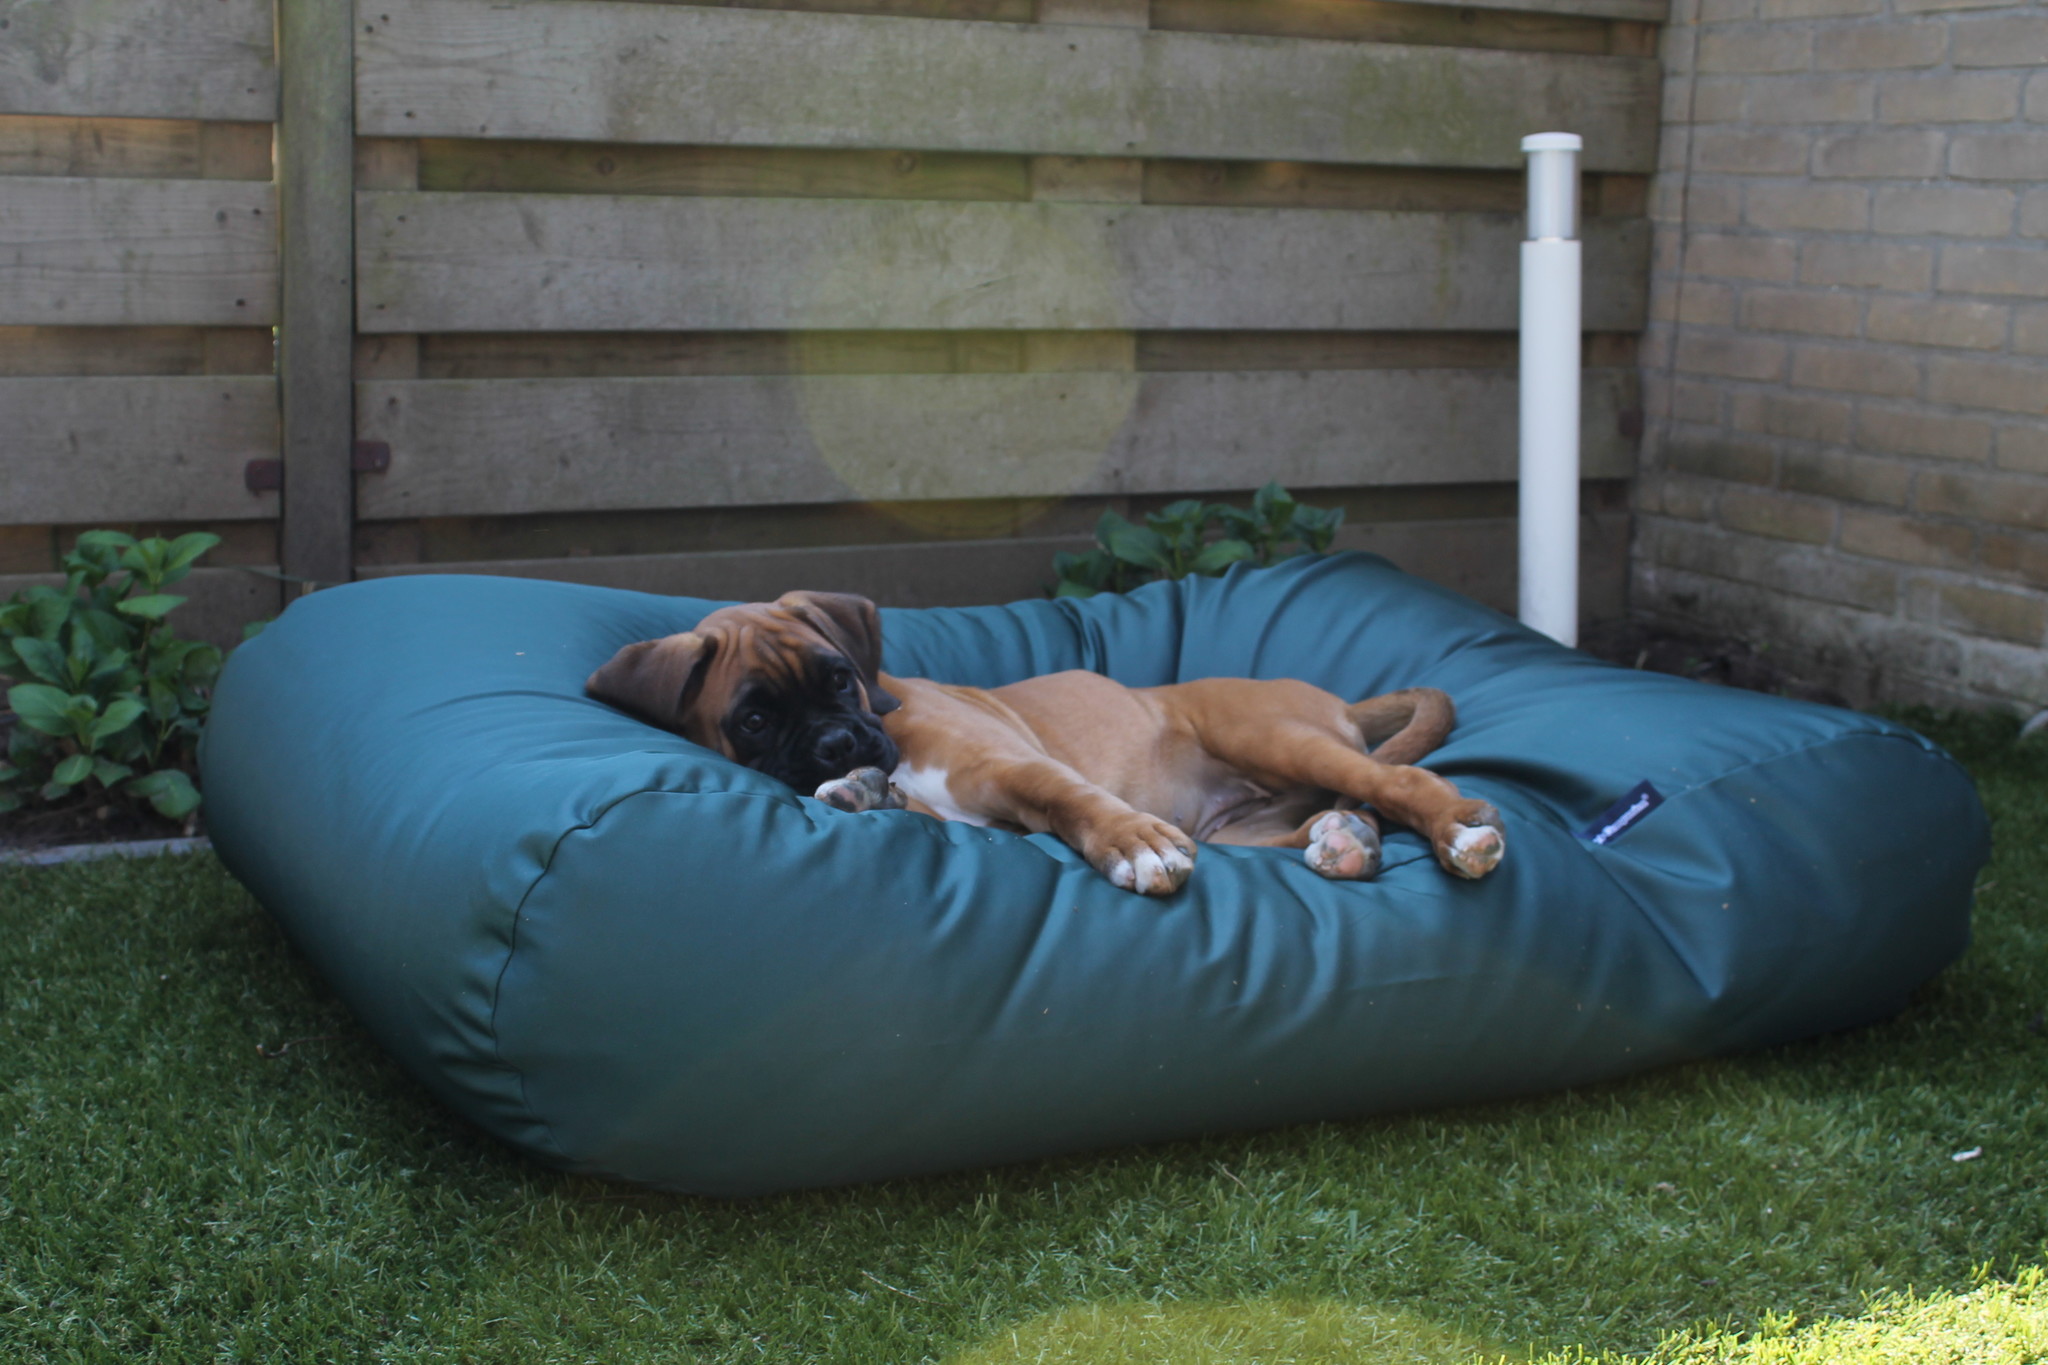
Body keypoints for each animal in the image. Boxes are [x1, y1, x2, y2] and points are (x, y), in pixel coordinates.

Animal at [589, 589, 1507, 896]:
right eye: (753, 720)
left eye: (841, 678)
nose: (838, 741)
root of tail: (1338, 701)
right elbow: (909, 807)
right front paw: (861, 791)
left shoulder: (1014, 770)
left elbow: (1072, 800)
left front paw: (1134, 844)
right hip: (1245, 828)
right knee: (1343, 814)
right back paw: (1344, 840)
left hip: (1275, 739)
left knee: (1405, 788)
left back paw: (1458, 829)